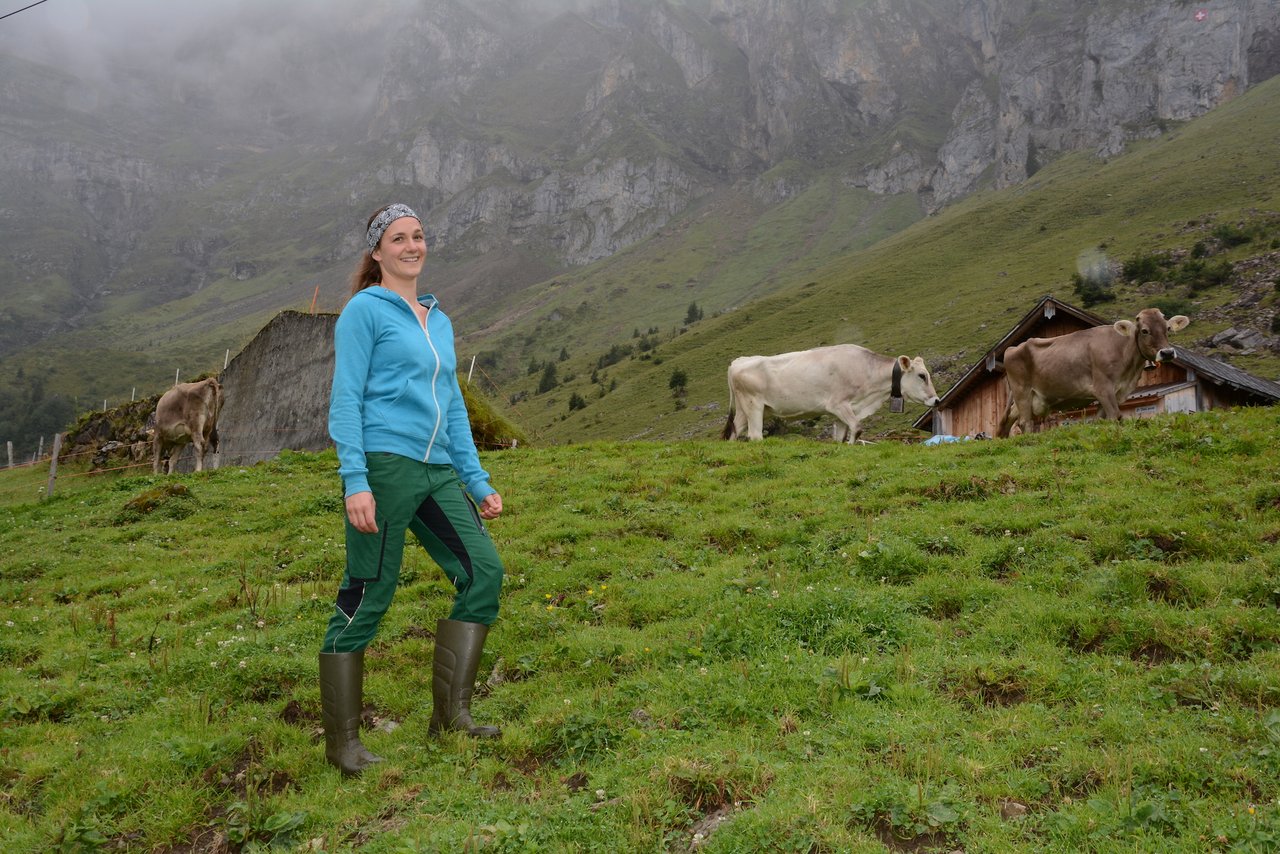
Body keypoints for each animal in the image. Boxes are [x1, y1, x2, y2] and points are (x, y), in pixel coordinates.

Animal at [998, 307, 1187, 437]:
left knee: (1008, 420)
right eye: (1144, 330)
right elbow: (1115, 415)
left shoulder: (1117, 392)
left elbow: (1100, 419)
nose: (1167, 353)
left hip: (1029, 398)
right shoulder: (1103, 387)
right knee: (1025, 422)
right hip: (1022, 391)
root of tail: (1012, 348)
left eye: (1167, 329)